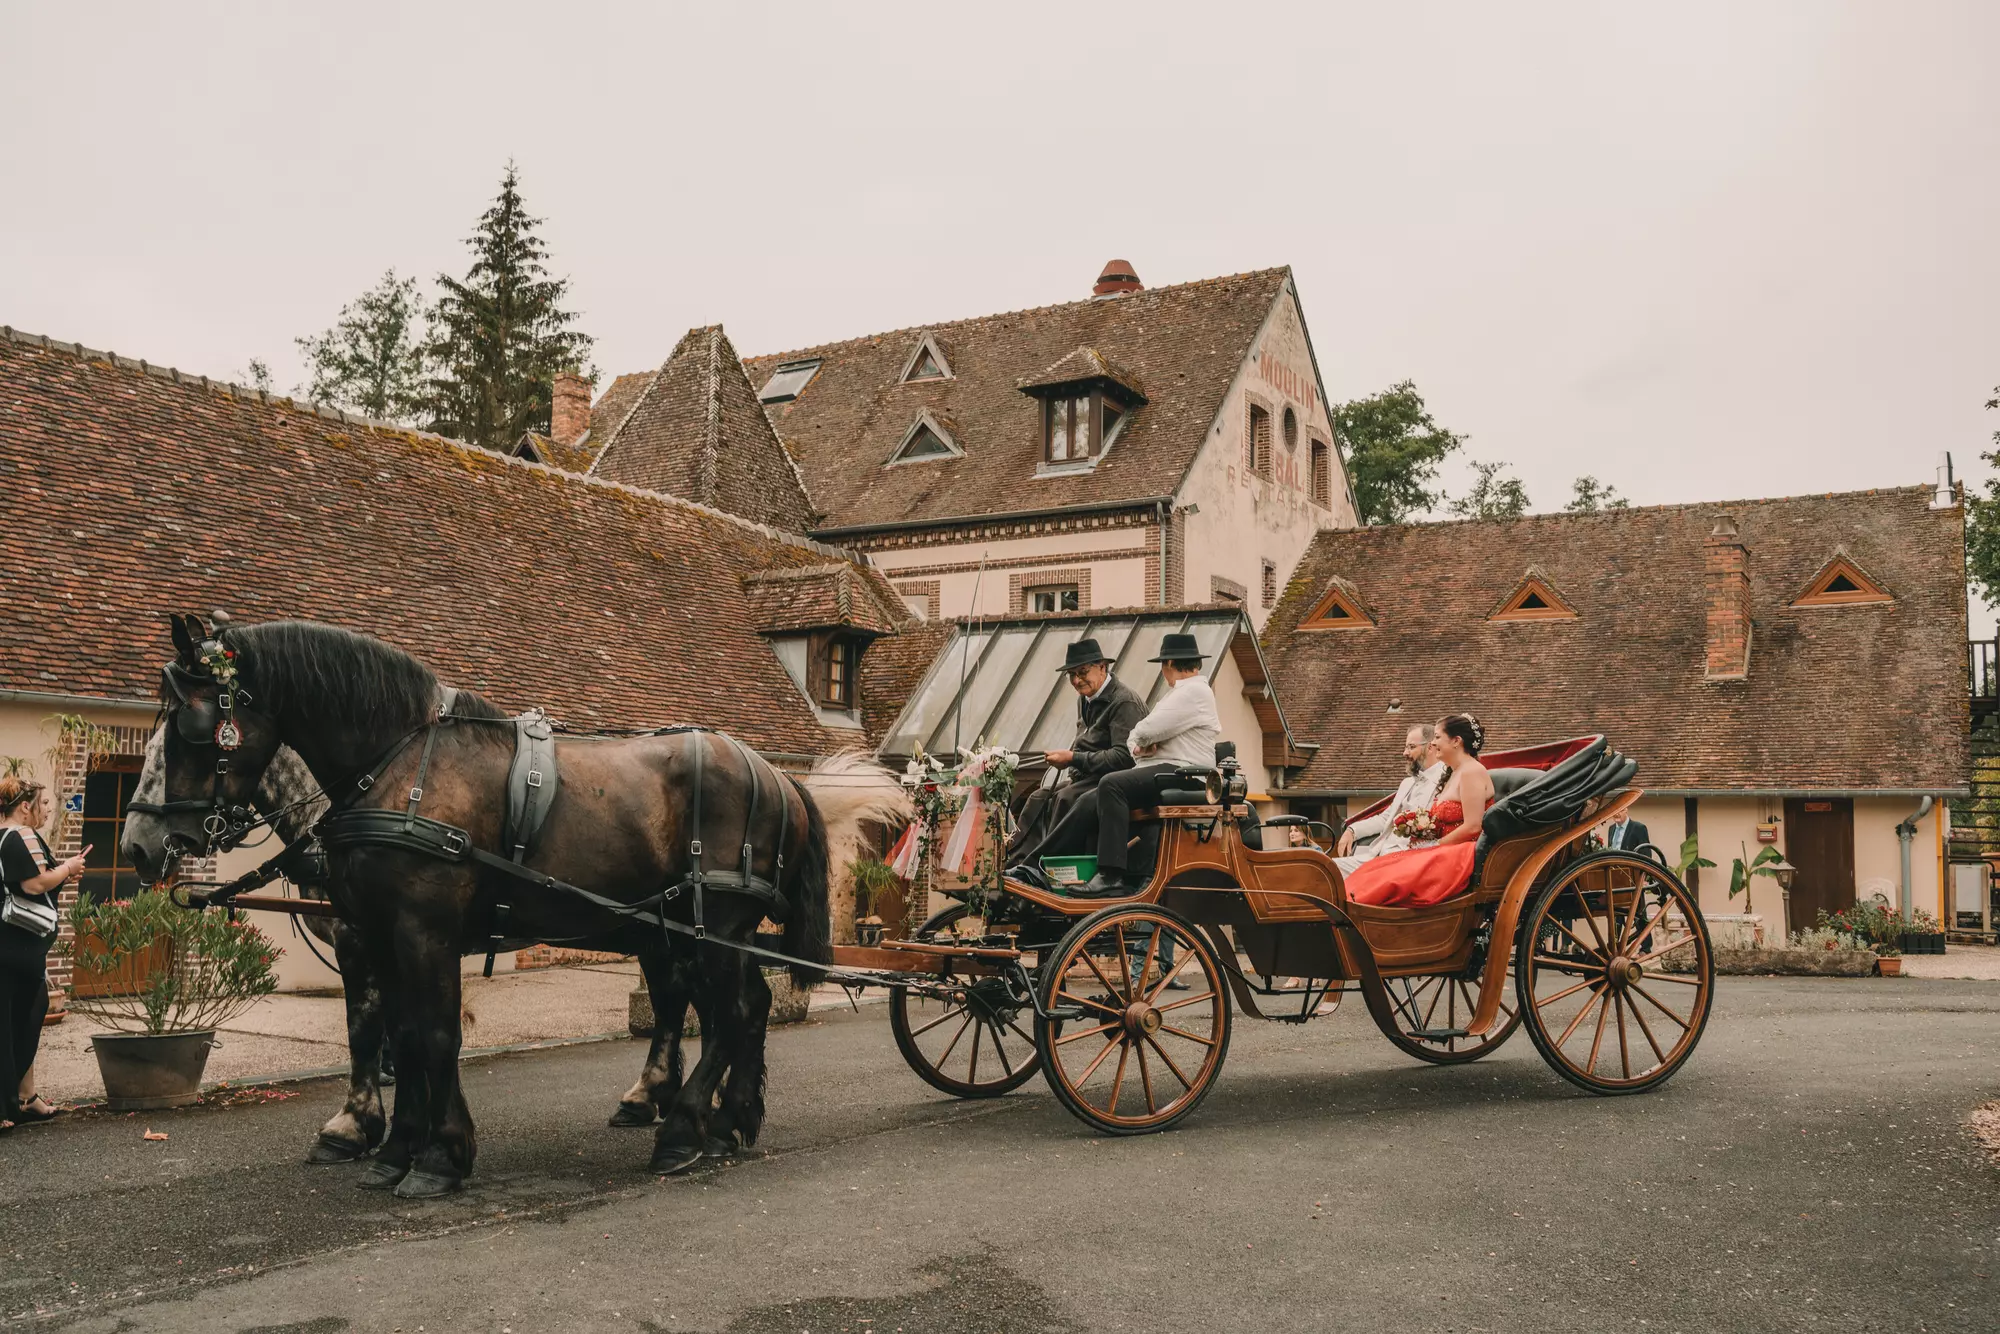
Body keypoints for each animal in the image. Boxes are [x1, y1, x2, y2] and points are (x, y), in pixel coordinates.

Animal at [125, 620, 908, 1200]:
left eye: (193, 729)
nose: (138, 844)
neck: (395, 770)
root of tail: (773, 772)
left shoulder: (418, 932)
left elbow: (429, 1036)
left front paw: (435, 1155)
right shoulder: (381, 933)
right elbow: (398, 1035)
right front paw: (394, 1145)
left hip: (715, 924)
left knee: (731, 1012)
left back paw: (684, 1129)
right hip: (686, 927)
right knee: (728, 1008)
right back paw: (725, 1119)